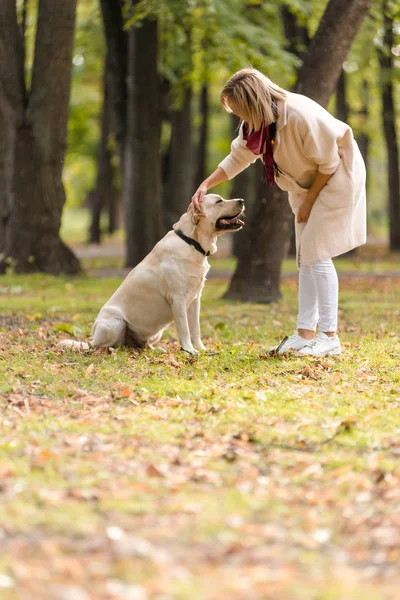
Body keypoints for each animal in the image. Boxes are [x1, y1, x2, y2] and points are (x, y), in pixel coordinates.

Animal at [92, 195, 245, 354]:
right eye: (219, 201)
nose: (242, 201)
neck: (192, 242)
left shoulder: (196, 299)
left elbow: (195, 328)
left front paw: (201, 349)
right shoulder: (178, 298)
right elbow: (184, 329)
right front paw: (189, 350)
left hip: (154, 333)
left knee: (141, 344)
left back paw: (156, 350)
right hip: (114, 323)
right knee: (103, 345)